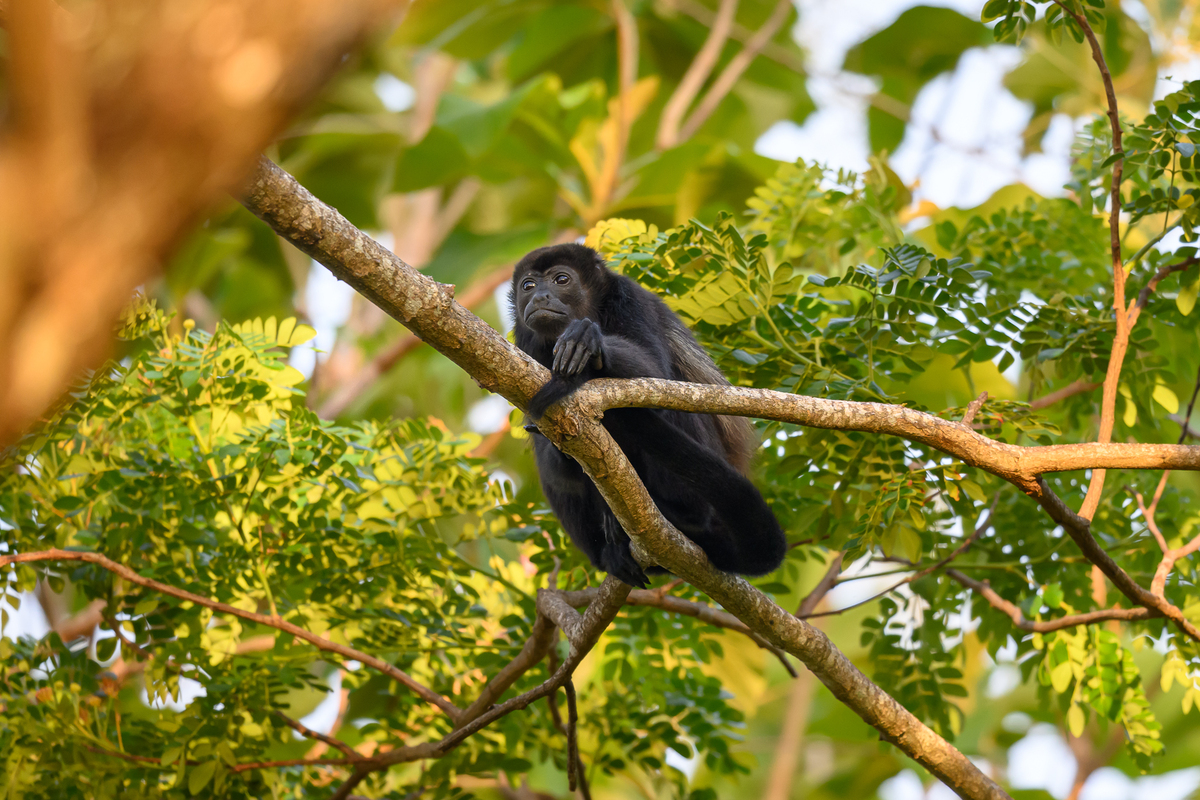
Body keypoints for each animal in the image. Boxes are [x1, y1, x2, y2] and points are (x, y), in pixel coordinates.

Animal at [511, 243, 787, 587]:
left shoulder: (630, 299)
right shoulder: (525, 341)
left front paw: (589, 343)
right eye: (528, 286)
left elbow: (657, 376)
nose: (539, 297)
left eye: (561, 279)